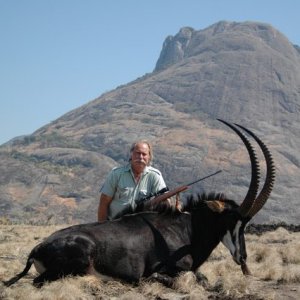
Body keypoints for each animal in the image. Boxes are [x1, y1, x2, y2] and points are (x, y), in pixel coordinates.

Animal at [2, 120, 276, 288]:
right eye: (232, 220)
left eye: (247, 223)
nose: (243, 258)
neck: (186, 228)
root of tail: (36, 248)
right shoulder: (169, 268)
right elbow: (188, 277)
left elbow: (204, 278)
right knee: (41, 282)